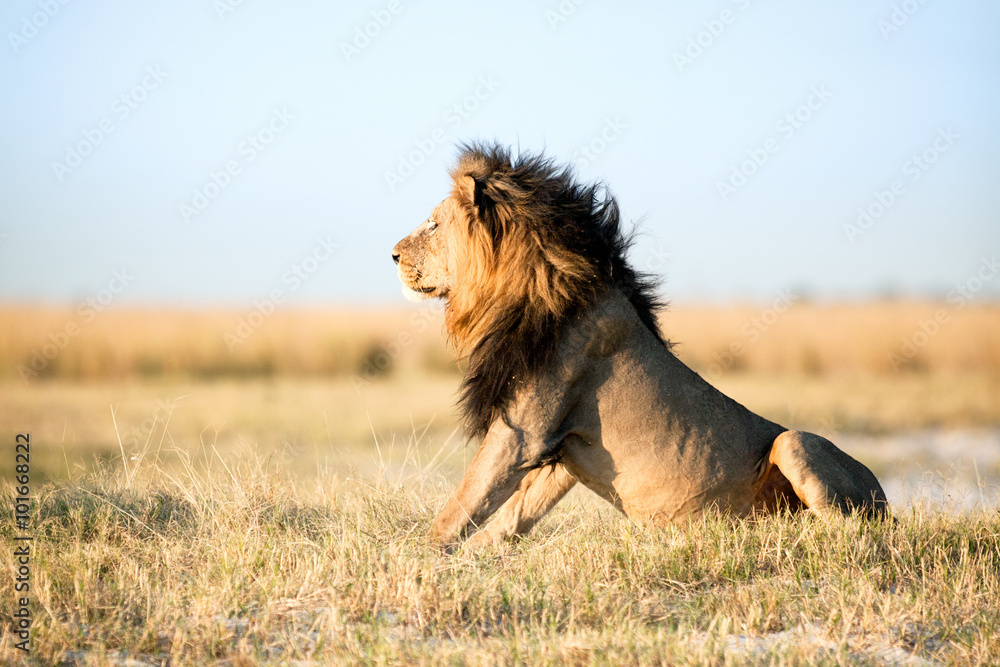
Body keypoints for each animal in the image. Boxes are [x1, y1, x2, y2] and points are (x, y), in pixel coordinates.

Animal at [392, 143, 888, 548]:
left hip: (793, 443)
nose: (392, 254)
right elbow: (513, 513)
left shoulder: (523, 430)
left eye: (433, 224)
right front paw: (472, 557)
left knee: (848, 528)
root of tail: (885, 496)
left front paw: (421, 559)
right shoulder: (561, 448)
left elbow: (462, 503)